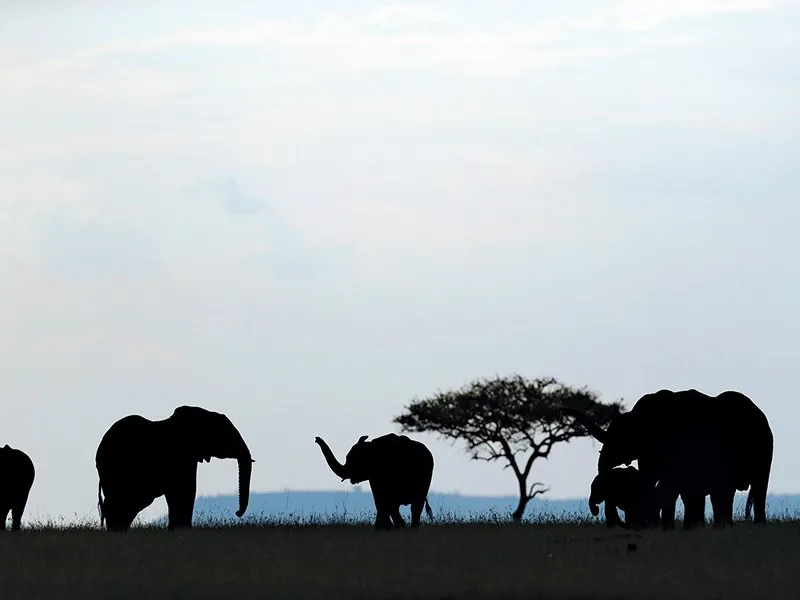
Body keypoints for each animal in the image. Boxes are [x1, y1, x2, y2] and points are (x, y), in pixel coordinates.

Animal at [564, 390, 772, 528]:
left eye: (619, 440)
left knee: (754, 488)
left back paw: (752, 526)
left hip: (763, 446)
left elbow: (661, 482)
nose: (561, 409)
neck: (640, 417)